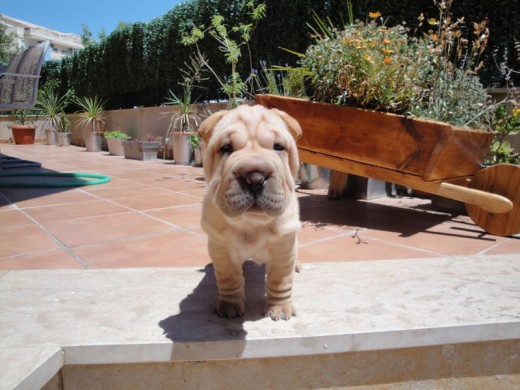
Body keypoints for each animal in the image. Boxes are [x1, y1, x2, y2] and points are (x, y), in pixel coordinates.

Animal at [200, 103, 304, 320]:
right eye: (226, 148)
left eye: (278, 147)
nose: (255, 178)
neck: (251, 222)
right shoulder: (220, 247)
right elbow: (229, 278)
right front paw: (229, 306)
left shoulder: (284, 246)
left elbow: (280, 281)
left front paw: (279, 307)